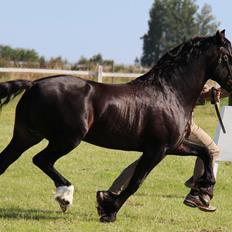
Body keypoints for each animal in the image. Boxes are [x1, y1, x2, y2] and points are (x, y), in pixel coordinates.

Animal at [0, 31, 231, 223]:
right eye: (228, 57)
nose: (230, 86)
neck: (170, 93)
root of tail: (34, 85)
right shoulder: (158, 150)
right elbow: (136, 182)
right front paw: (108, 211)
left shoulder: (175, 146)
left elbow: (205, 152)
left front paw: (204, 193)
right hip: (67, 139)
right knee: (41, 160)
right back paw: (65, 197)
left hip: (26, 136)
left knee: (7, 161)